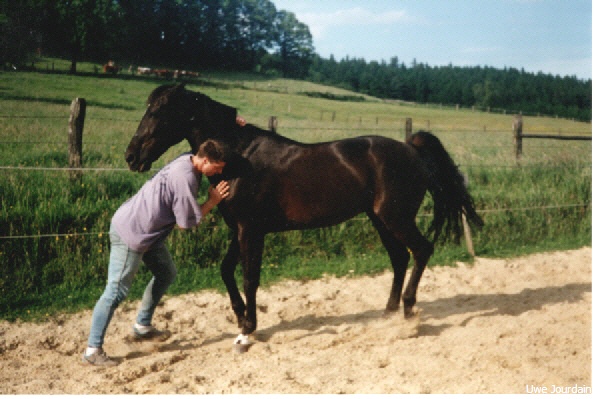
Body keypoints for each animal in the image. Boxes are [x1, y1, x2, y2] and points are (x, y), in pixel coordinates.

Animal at [125, 83, 484, 344]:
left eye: (158, 111)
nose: (131, 156)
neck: (239, 157)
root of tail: (411, 149)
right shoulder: (238, 229)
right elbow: (226, 271)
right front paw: (240, 317)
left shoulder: (251, 230)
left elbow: (250, 277)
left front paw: (249, 328)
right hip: (380, 219)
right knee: (400, 258)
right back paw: (388, 313)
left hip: (396, 218)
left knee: (422, 249)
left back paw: (409, 312)